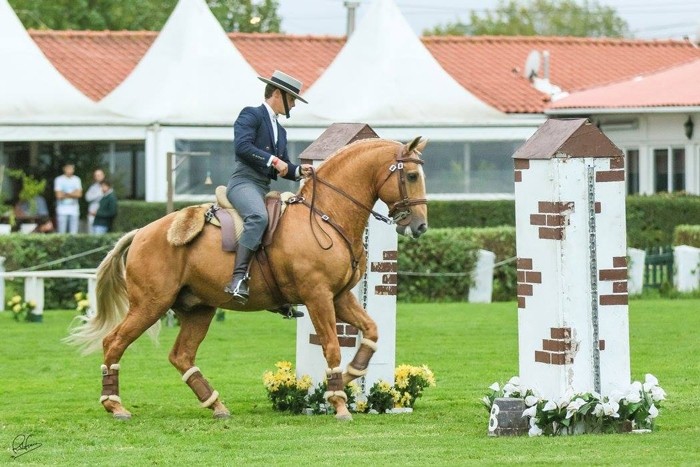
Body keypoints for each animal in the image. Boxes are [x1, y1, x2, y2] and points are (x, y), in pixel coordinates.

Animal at [67, 135, 426, 420]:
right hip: (150, 304)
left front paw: (352, 375)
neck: (326, 216)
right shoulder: (318, 296)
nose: (420, 226)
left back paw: (216, 405)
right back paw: (115, 405)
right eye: (411, 175)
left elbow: (371, 331)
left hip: (199, 309)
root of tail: (142, 231)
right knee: (114, 342)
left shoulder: (339, 296)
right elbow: (332, 346)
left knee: (181, 355)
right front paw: (338, 402)